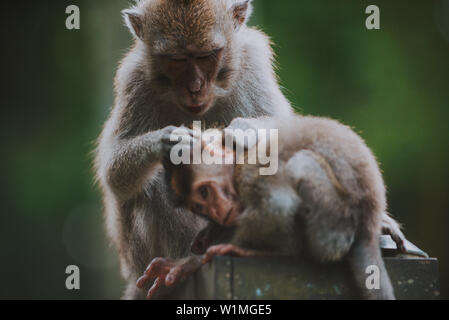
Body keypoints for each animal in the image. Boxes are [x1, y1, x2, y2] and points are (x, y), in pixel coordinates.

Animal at [165, 115, 396, 300]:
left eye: (204, 192)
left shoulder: (251, 171)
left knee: (300, 165)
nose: (215, 212)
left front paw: (237, 248)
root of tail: (368, 225)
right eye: (199, 207)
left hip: (334, 227)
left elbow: (278, 205)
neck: (238, 160)